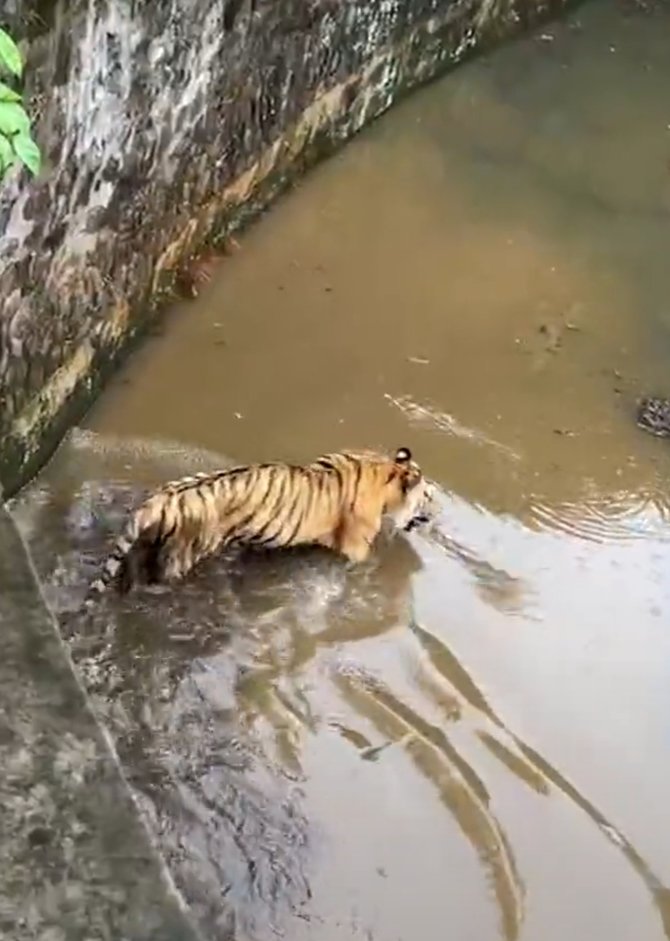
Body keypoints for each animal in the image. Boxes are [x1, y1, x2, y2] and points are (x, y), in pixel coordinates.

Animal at [85, 442, 436, 604]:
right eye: (426, 495)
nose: (436, 504)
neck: (385, 470)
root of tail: (160, 500)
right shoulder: (355, 551)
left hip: (142, 549)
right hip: (179, 559)